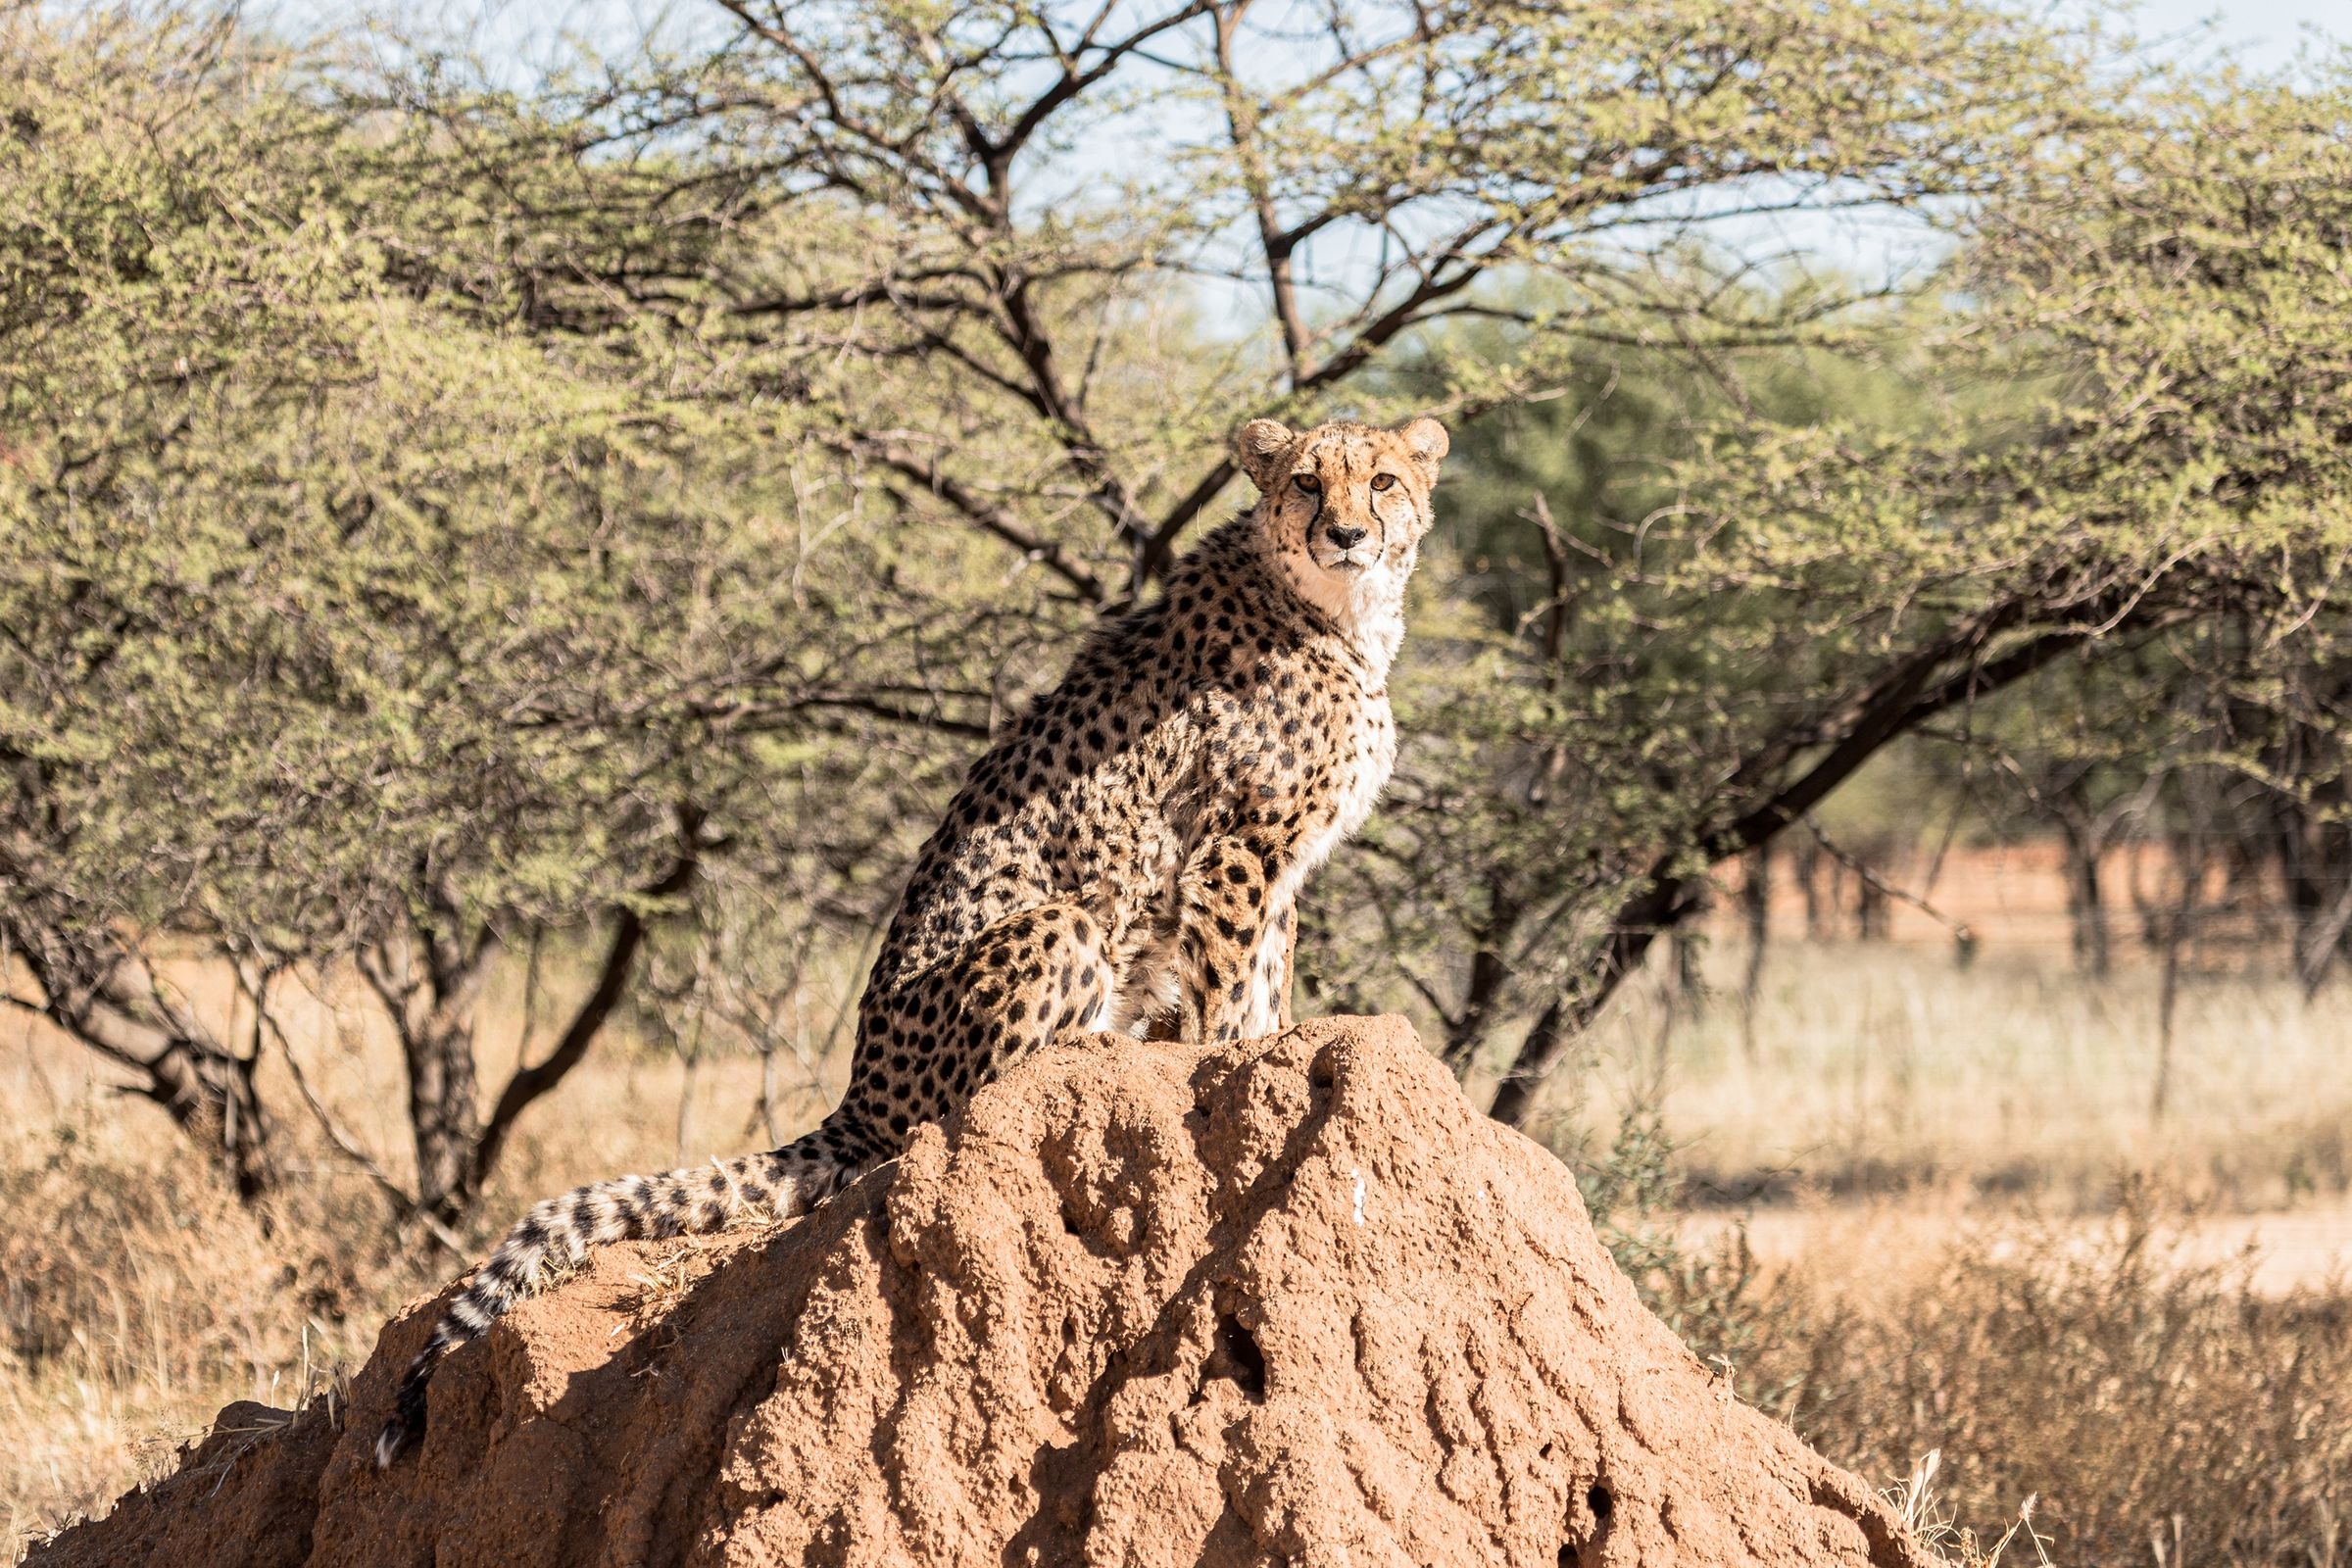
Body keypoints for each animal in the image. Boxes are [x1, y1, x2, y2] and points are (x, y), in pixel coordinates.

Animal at [375, 412, 1450, 1467]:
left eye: (1382, 480)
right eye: (1307, 481)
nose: (1346, 533)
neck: (1336, 609)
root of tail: (861, 1090)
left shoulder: (1278, 862)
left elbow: (1268, 979)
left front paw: (1274, 1050)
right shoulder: (1234, 849)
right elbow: (1232, 994)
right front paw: (1227, 1065)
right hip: (1060, 931)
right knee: (962, 1108)